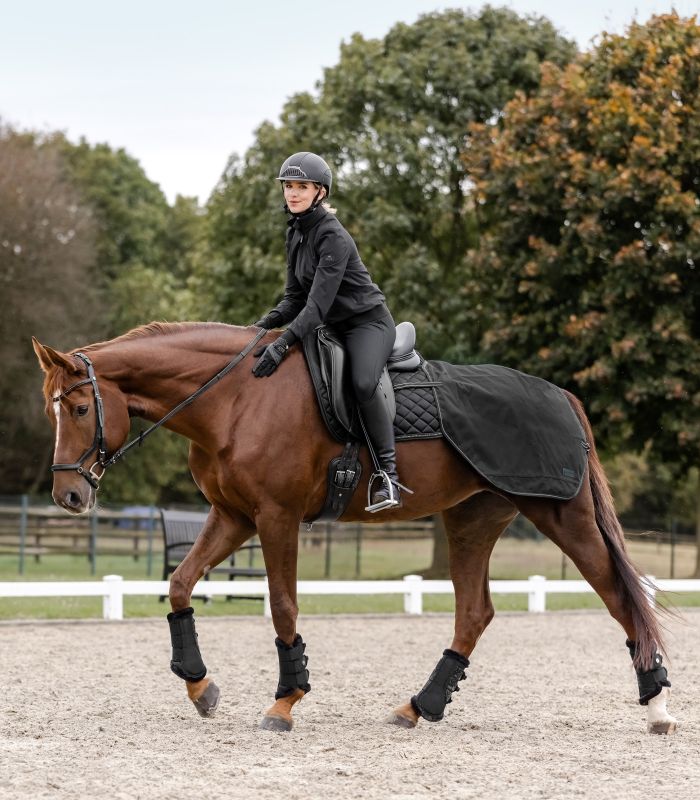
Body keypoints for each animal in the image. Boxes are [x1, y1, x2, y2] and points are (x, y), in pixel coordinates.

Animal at [32, 321, 677, 734]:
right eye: (52, 412)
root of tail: (559, 395)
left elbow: (283, 605)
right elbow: (180, 584)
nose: (69, 496)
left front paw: (285, 702)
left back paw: (657, 707)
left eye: (82, 409)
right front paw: (200, 687)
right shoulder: (233, 516)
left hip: (562, 515)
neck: (236, 398)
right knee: (474, 612)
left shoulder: (275, 517)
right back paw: (420, 707)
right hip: (472, 521)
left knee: (621, 598)